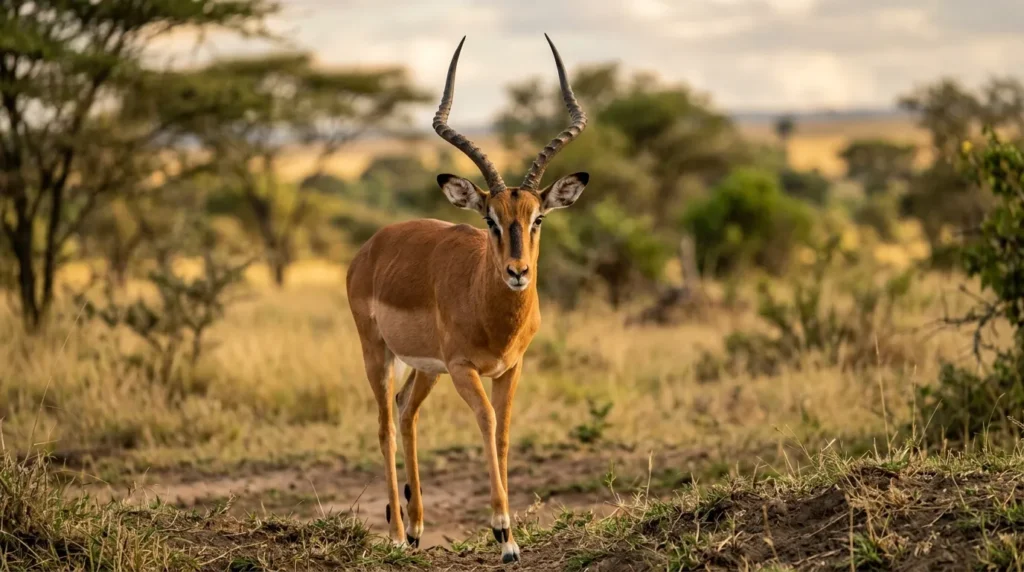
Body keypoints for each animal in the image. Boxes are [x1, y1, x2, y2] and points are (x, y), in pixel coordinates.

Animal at [346, 34, 587, 564]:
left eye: (538, 218)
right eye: (490, 219)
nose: (517, 272)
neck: (491, 311)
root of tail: (371, 247)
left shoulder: (510, 367)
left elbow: (504, 430)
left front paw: (510, 535)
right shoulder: (463, 369)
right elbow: (486, 420)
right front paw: (503, 534)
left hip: (424, 368)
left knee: (405, 411)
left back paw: (416, 527)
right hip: (378, 352)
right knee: (385, 425)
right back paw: (397, 536)